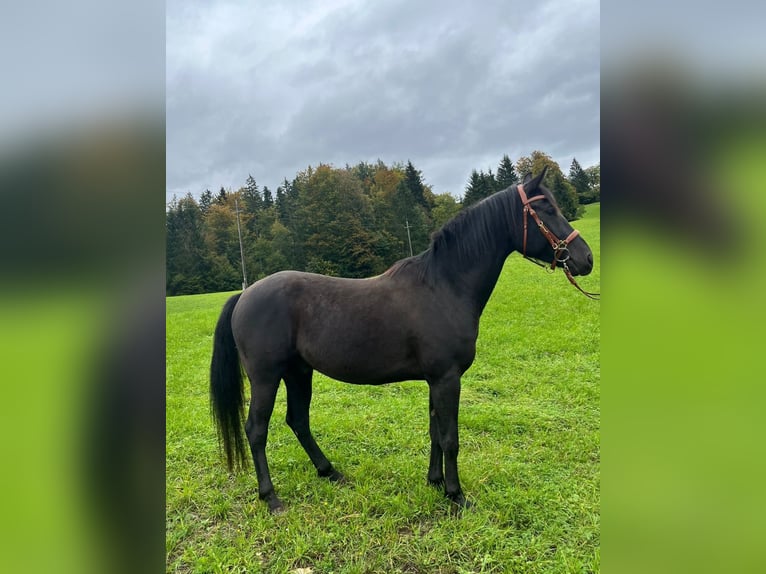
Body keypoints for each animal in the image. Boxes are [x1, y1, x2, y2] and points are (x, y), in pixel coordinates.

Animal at [212, 169, 600, 516]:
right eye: (546, 209)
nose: (586, 259)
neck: (444, 286)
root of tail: (245, 294)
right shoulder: (447, 379)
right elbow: (450, 438)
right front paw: (457, 496)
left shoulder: (436, 380)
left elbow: (434, 431)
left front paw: (435, 482)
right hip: (266, 378)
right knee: (256, 430)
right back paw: (271, 498)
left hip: (298, 372)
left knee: (298, 421)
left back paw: (329, 471)